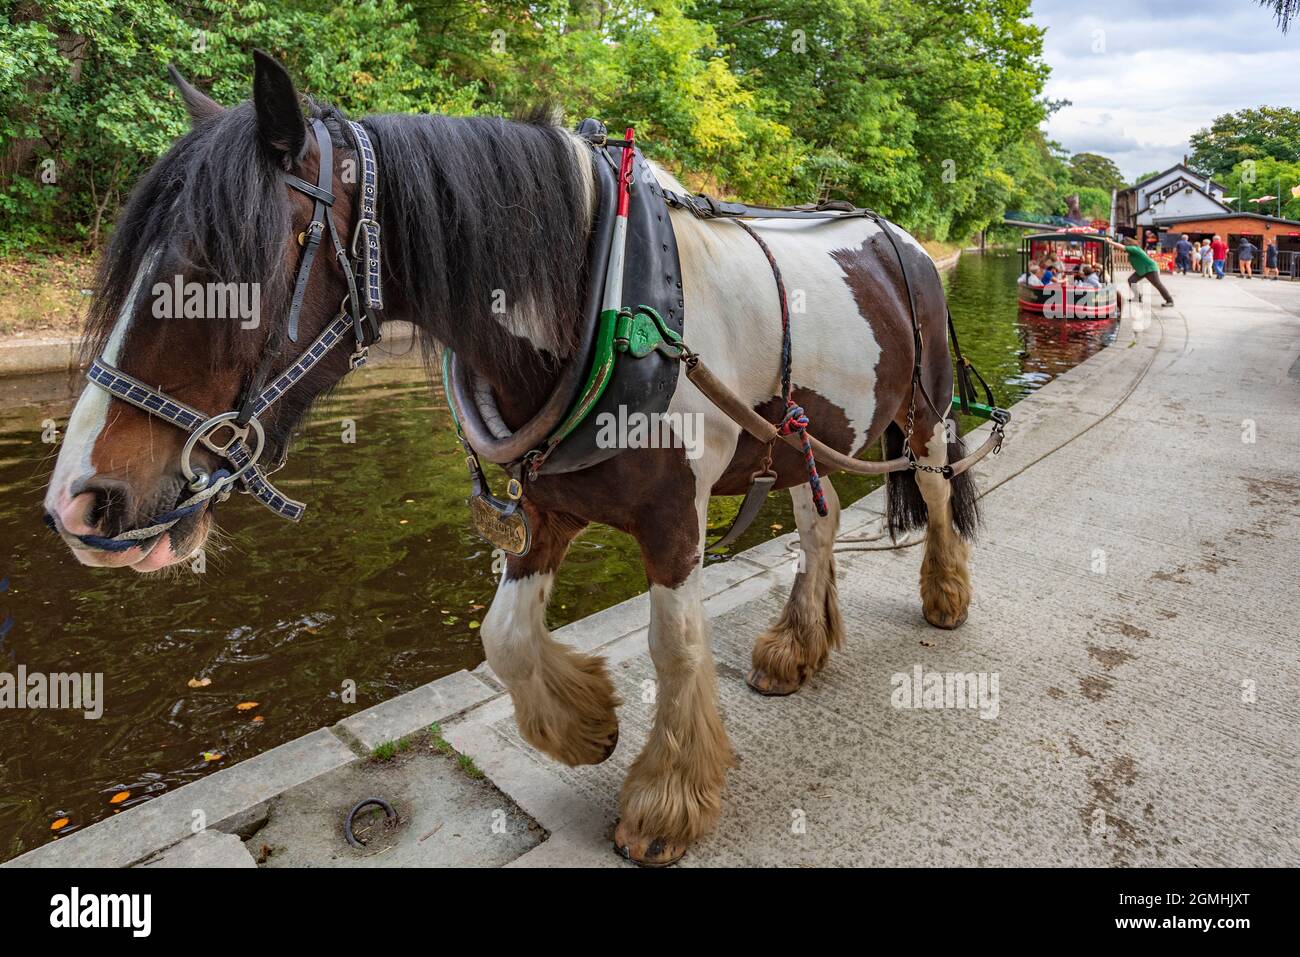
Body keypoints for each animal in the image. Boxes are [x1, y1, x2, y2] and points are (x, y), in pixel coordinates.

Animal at [42, 52, 981, 866]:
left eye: (213, 269)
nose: (78, 503)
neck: (606, 293)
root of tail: (901, 239)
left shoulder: (675, 520)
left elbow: (676, 646)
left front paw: (665, 800)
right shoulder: (545, 504)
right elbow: (504, 637)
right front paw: (586, 723)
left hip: (924, 410)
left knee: (936, 490)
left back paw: (942, 593)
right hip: (803, 440)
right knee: (819, 520)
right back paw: (798, 644)